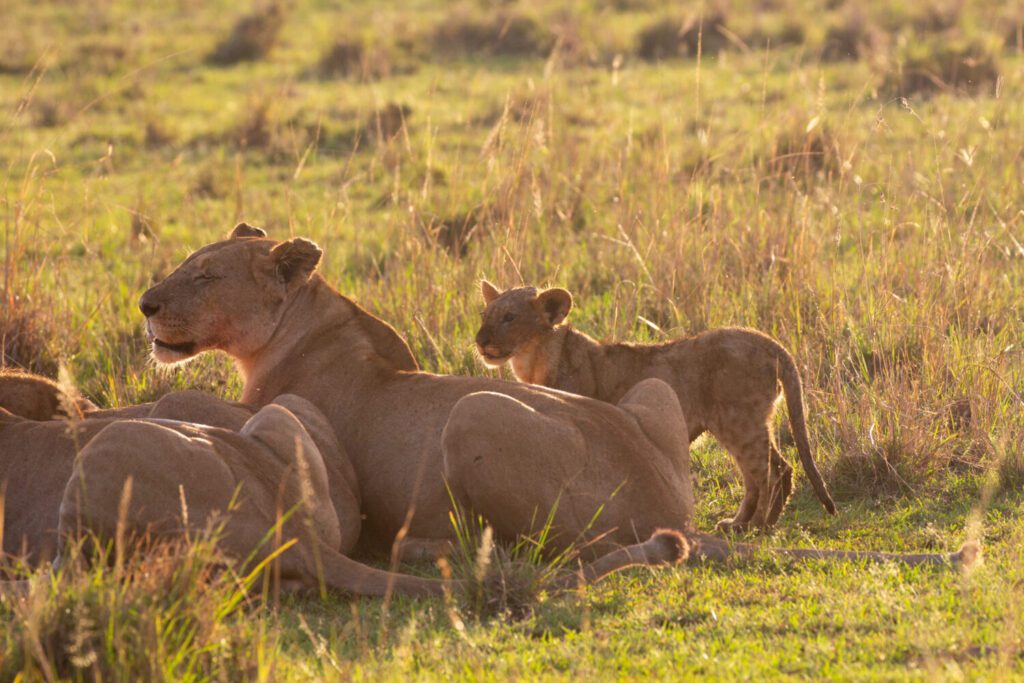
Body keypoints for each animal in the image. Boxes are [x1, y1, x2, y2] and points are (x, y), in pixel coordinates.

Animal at [474, 282, 836, 533]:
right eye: (485, 316)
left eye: (509, 318)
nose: (480, 340)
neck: (535, 359)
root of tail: (770, 343)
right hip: (744, 423)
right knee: (772, 471)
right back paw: (747, 523)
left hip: (739, 422)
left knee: (768, 472)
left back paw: (754, 526)